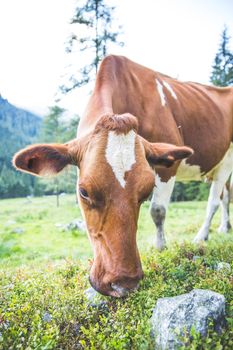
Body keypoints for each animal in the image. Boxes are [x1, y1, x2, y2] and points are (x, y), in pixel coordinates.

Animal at [13, 56, 233, 296]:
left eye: (146, 191)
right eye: (83, 192)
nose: (124, 282)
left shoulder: (167, 166)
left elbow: (158, 211)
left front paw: (160, 247)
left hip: (226, 161)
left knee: (213, 201)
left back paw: (201, 236)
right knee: (225, 197)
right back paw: (224, 228)